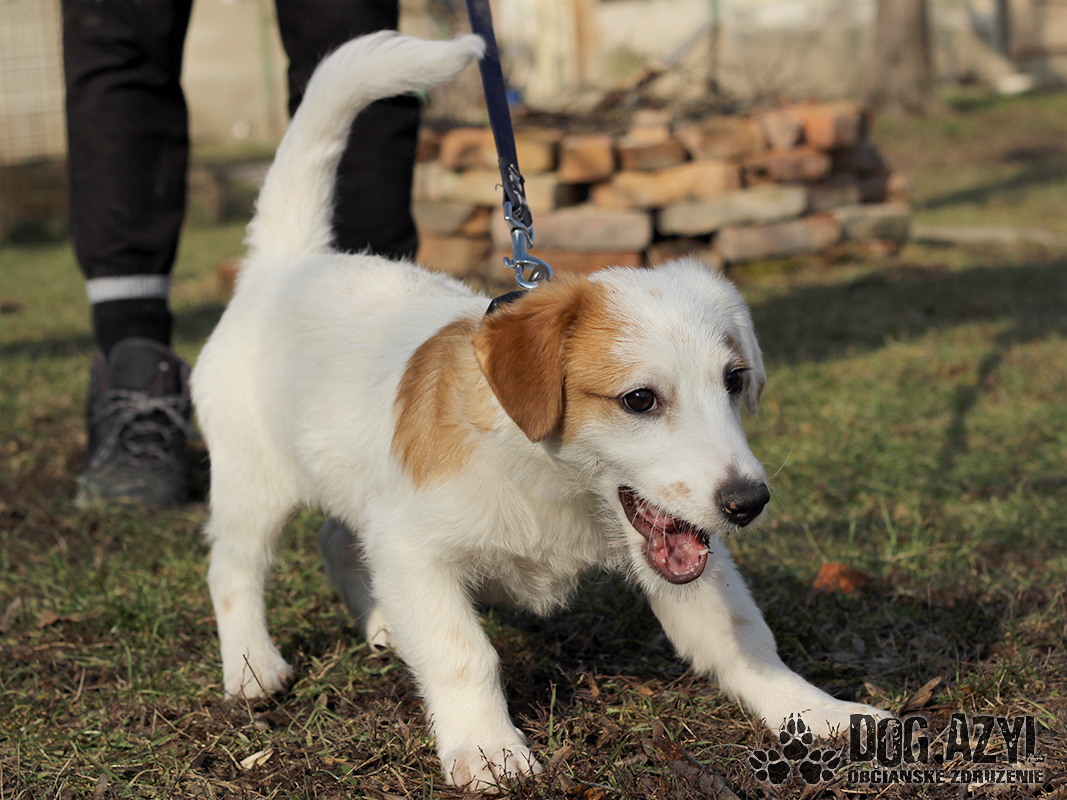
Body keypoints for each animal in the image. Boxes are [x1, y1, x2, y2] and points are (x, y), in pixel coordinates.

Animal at [192, 31, 889, 791]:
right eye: (639, 399)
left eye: (734, 381)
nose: (747, 503)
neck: (548, 478)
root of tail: (287, 266)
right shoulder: (414, 546)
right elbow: (463, 652)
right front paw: (486, 747)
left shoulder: (681, 555)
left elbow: (742, 636)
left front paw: (814, 710)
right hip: (254, 485)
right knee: (234, 570)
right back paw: (253, 667)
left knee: (337, 538)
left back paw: (380, 623)